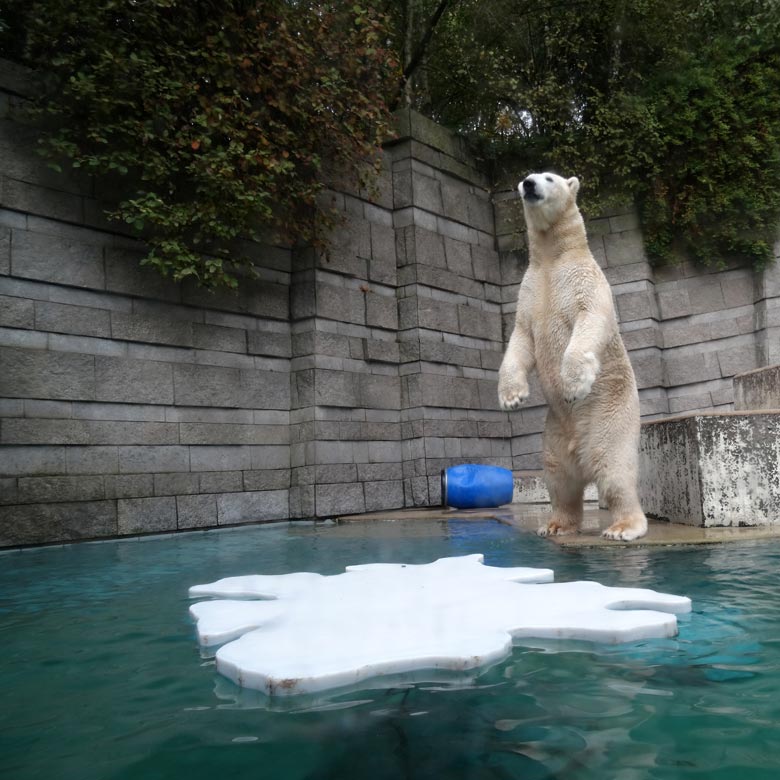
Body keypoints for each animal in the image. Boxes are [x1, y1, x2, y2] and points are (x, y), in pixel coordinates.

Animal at [500, 171, 644, 540]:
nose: (528, 183)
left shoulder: (584, 282)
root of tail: (581, 453)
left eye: (549, 177)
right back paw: (555, 524)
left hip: (609, 417)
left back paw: (623, 526)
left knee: (614, 470)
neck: (553, 258)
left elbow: (589, 321)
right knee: (558, 477)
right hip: (553, 433)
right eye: (527, 175)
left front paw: (573, 384)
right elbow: (519, 339)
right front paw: (511, 397)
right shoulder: (529, 293)